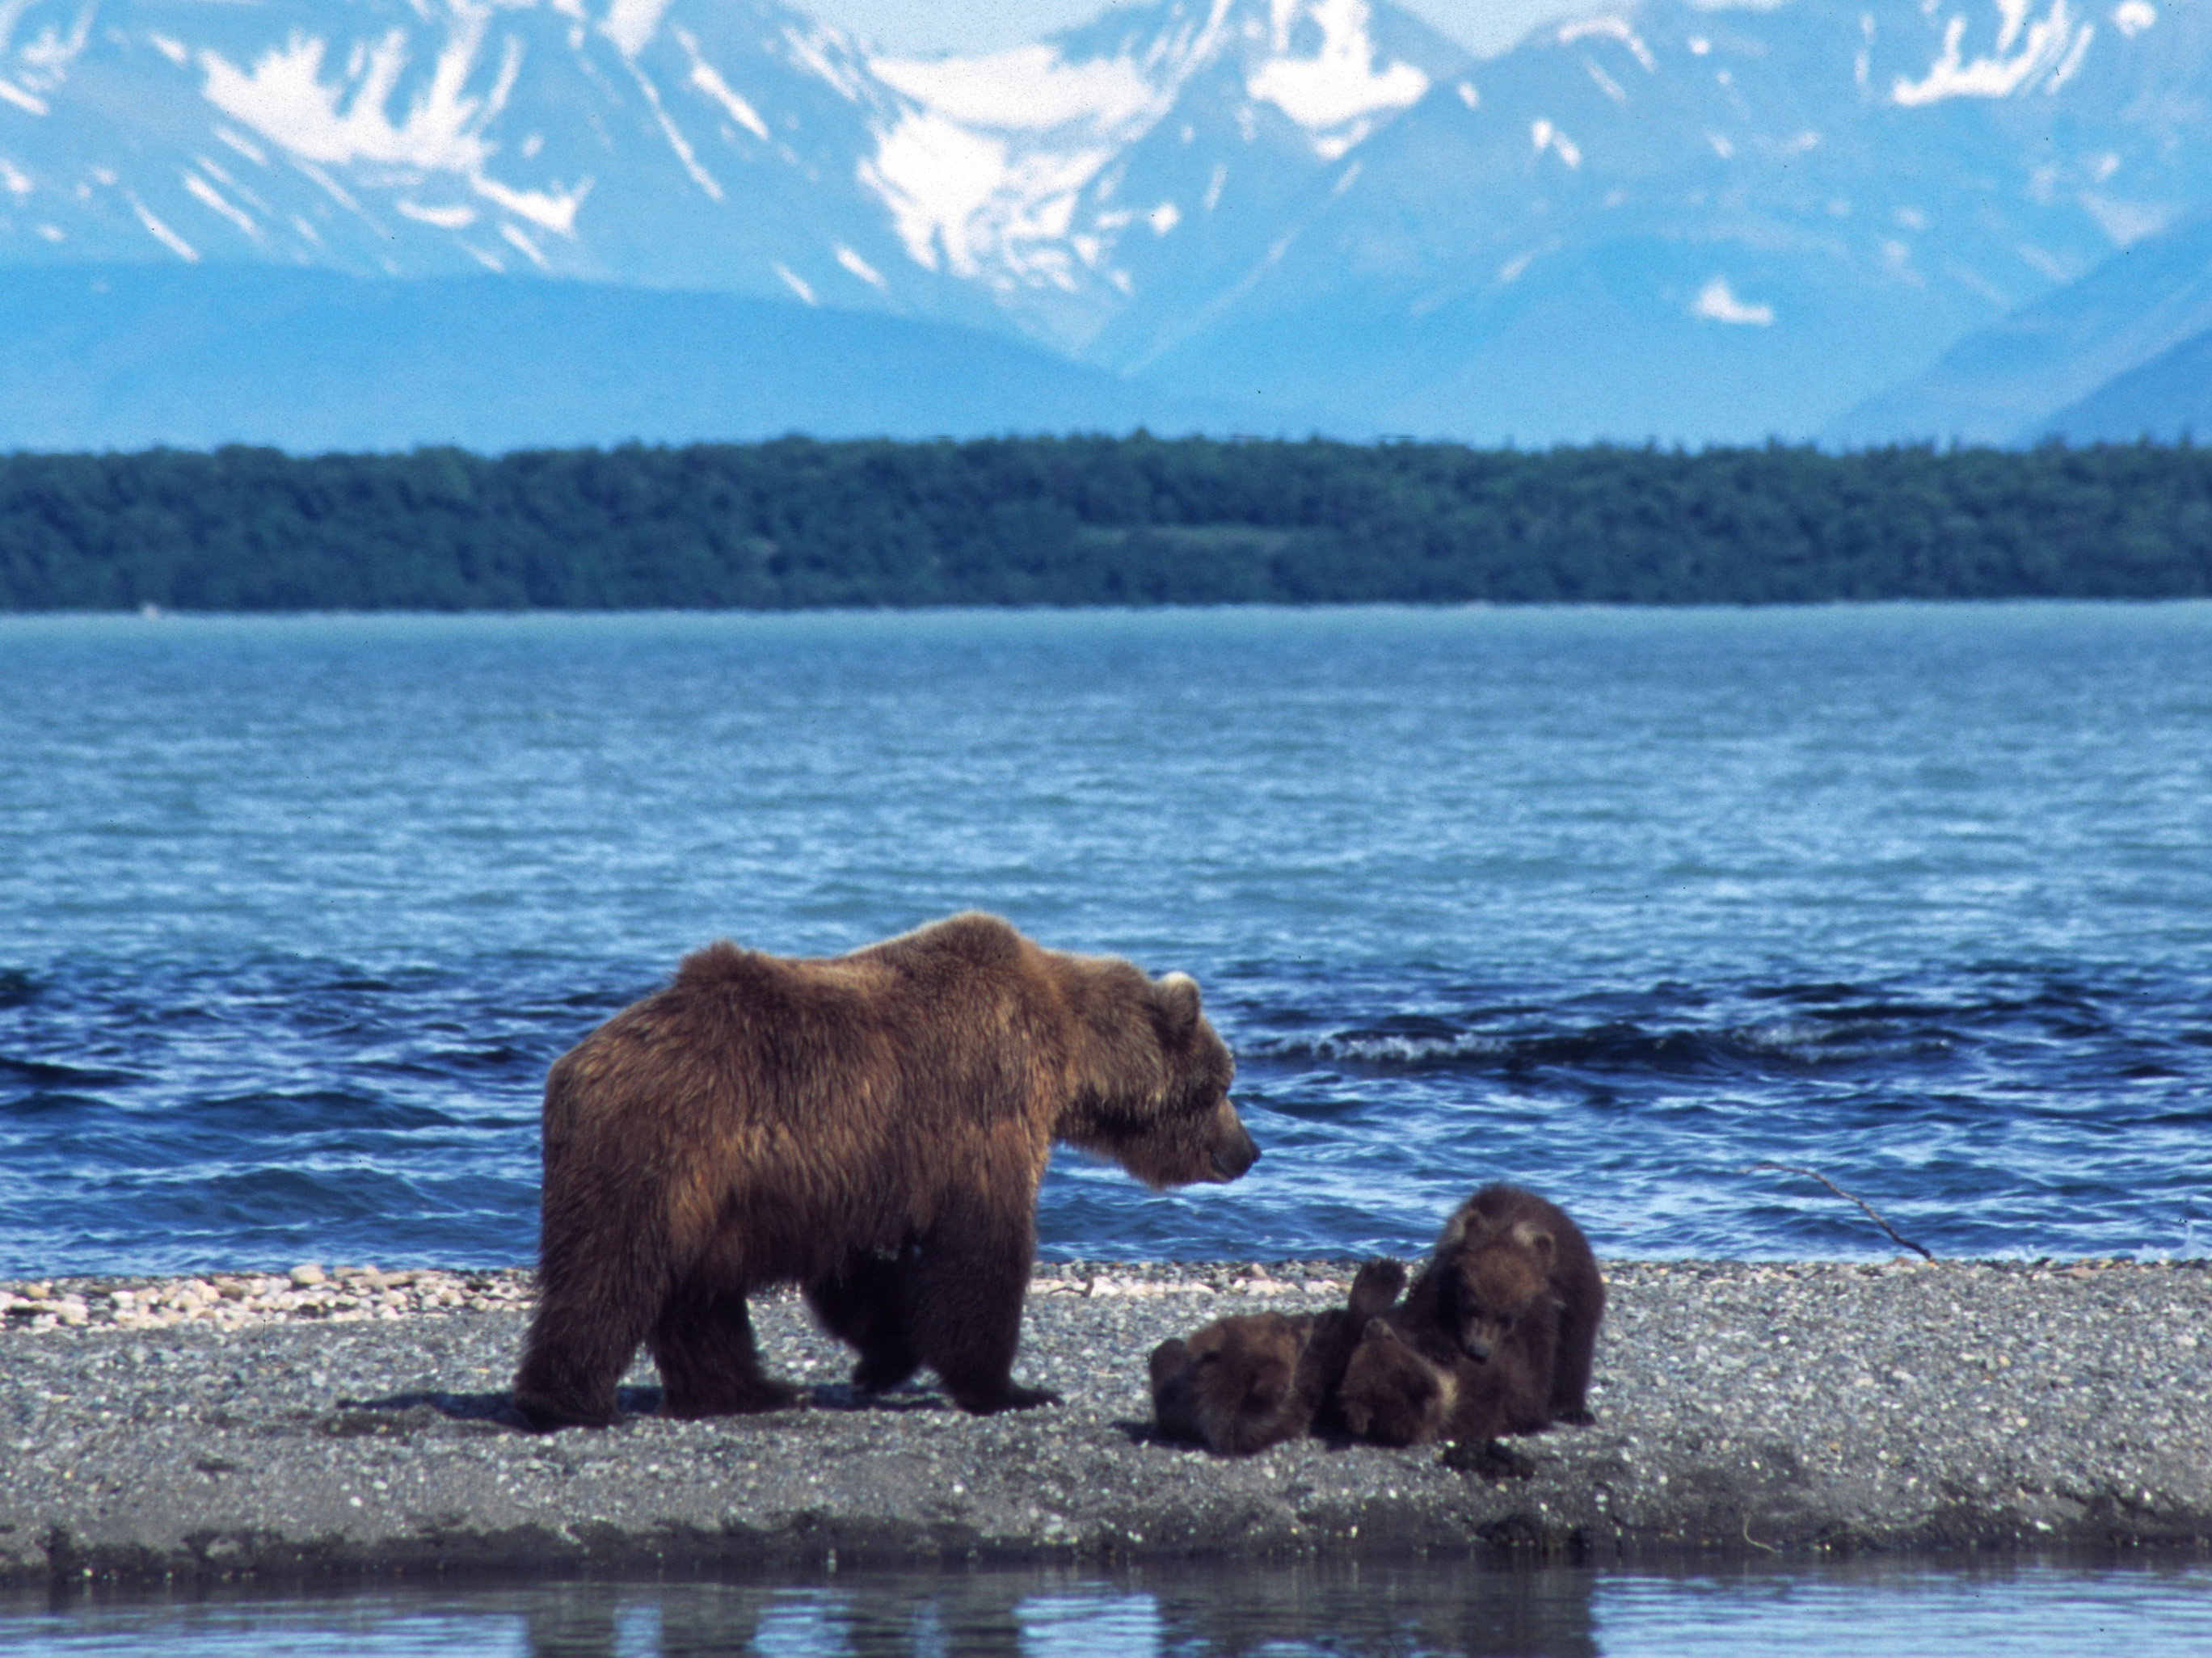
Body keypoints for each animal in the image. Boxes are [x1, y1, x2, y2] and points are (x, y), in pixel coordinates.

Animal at [512, 912, 1260, 1430]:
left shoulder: (856, 1172)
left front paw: (885, 1356)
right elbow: (982, 1251)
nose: (1247, 1150)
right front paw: (1009, 1388)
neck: (1068, 1051)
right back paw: (569, 1400)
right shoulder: (979, 1111)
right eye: (1222, 1082)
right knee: (611, 1268)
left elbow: (863, 1266)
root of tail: (571, 1065)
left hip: (707, 1188)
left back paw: (750, 1390)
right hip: (656, 1147)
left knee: (697, 1292)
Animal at [1396, 1184, 1606, 1433]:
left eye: (1507, 1318)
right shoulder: (1445, 1276)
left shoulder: (1542, 1307)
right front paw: (1439, 1347)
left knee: (1576, 1348)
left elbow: (1543, 1355)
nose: (1478, 1350)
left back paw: (1572, 1409)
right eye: (1470, 1307)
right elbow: (1425, 1312)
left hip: (1580, 1293)